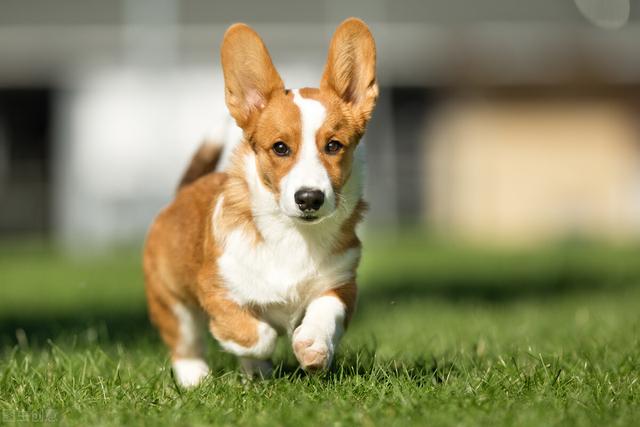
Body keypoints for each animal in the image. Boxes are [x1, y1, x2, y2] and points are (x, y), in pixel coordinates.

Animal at [144, 17, 376, 388]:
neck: (293, 235)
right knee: (184, 342)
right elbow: (257, 334)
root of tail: (185, 190)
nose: (309, 198)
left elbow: (326, 312)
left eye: (334, 146)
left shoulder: (341, 284)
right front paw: (248, 343)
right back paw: (196, 378)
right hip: (171, 300)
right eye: (280, 148)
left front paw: (312, 345)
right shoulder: (218, 288)